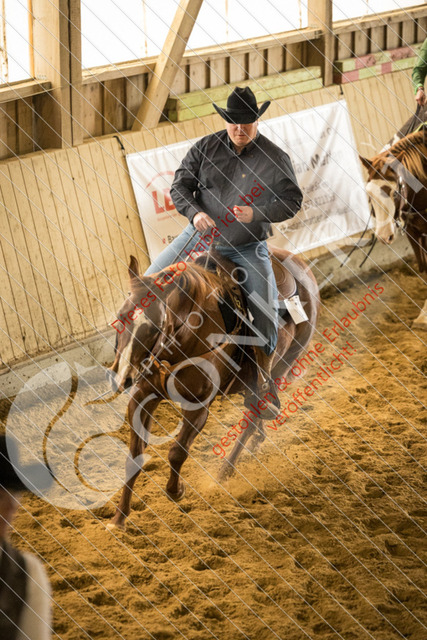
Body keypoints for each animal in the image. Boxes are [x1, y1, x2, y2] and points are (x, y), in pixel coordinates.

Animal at [106, 246, 319, 529]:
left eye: (155, 326)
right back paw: (257, 440)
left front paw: (176, 490)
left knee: (251, 418)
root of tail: (300, 265)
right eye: (120, 317)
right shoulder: (142, 396)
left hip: (285, 364)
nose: (122, 376)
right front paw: (119, 518)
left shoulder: (199, 406)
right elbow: (134, 457)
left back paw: (224, 472)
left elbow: (177, 452)